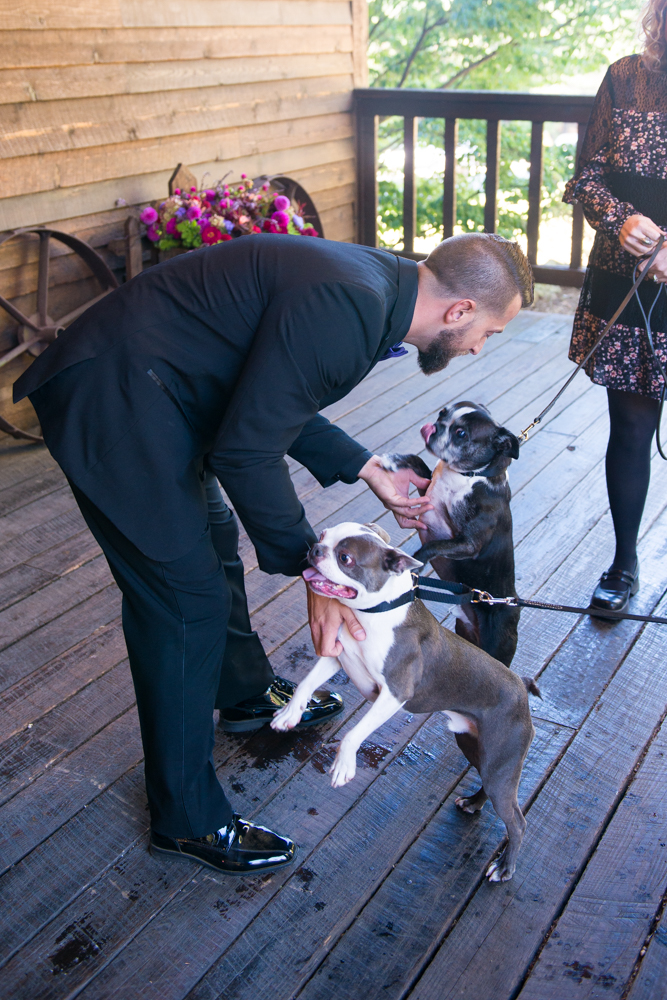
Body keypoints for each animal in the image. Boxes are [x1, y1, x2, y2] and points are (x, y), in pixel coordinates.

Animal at [274, 524, 540, 884]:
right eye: (324, 535)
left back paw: (505, 867)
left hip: (502, 759)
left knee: (517, 821)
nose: (315, 549)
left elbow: (354, 733)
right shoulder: (337, 657)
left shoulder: (394, 694)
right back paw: (473, 803)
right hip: (479, 750)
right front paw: (289, 714)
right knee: (489, 784)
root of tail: (521, 686)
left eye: (345, 558)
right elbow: (305, 684)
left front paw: (344, 766)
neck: (374, 615)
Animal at [384, 402, 524, 668]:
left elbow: (433, 546)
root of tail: (513, 603)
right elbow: (419, 461)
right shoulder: (427, 494)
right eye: (442, 412)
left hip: (497, 645)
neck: (466, 475)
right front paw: (395, 460)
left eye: (461, 434)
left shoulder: (468, 543)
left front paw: (416, 563)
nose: (436, 426)